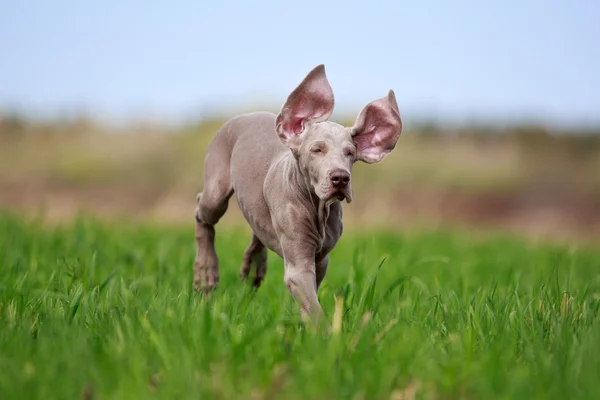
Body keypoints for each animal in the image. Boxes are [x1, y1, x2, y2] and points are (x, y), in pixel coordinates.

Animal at [195, 63, 404, 324]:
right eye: (317, 149)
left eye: (350, 153)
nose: (340, 178)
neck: (317, 207)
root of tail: (246, 114)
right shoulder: (298, 265)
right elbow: (312, 306)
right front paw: (327, 333)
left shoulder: (321, 259)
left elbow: (310, 300)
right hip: (216, 188)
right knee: (202, 212)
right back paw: (206, 273)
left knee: (257, 228)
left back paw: (253, 267)